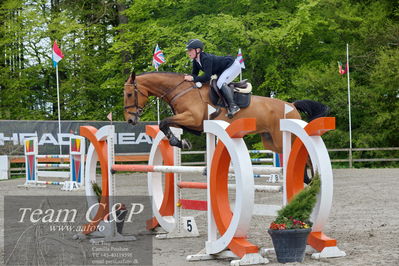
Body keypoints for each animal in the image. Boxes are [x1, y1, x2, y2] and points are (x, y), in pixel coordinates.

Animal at [123, 70, 330, 154]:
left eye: (129, 94)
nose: (130, 121)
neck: (180, 90)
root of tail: (292, 105)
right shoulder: (192, 123)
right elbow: (167, 124)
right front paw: (182, 142)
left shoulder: (192, 118)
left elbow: (164, 122)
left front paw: (180, 142)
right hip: (270, 141)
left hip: (284, 137)